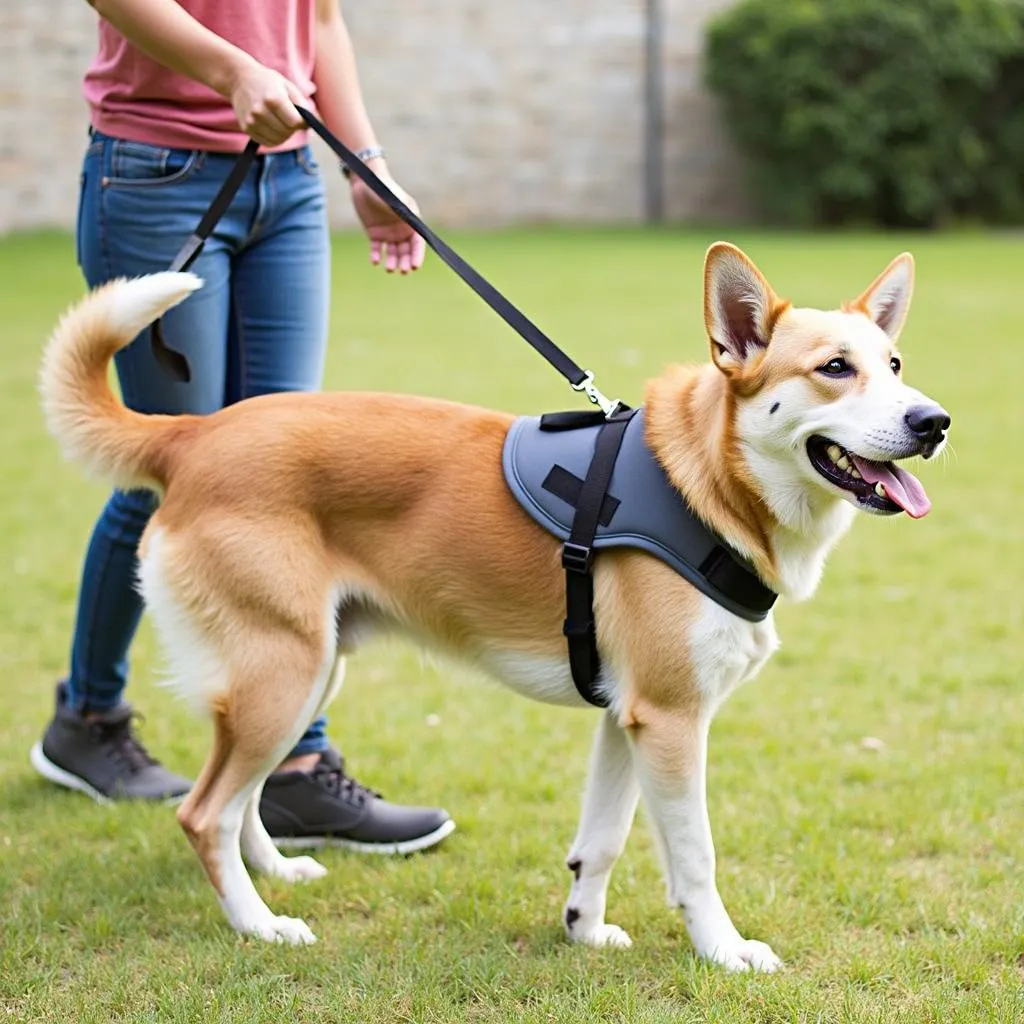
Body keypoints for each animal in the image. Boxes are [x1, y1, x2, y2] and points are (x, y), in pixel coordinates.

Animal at [41, 243, 950, 970]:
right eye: (834, 368)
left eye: (896, 365)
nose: (934, 421)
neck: (707, 481)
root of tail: (192, 436)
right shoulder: (670, 718)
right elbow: (694, 859)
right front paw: (724, 952)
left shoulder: (625, 719)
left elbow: (601, 842)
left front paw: (584, 929)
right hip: (285, 673)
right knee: (204, 812)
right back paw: (260, 925)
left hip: (301, 671)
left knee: (235, 798)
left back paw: (275, 872)